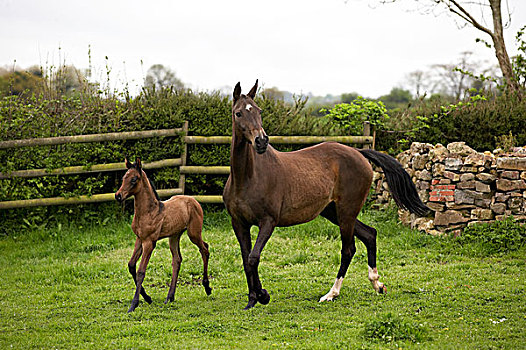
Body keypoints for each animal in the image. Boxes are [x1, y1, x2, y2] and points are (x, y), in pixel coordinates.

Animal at [116, 158, 211, 312]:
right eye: (124, 178)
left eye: (134, 179)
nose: (118, 195)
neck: (148, 212)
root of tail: (194, 200)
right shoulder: (139, 239)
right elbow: (131, 265)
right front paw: (147, 298)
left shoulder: (149, 242)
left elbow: (141, 271)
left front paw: (134, 304)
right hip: (174, 236)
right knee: (177, 260)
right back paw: (169, 297)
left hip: (194, 233)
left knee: (205, 249)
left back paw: (207, 287)